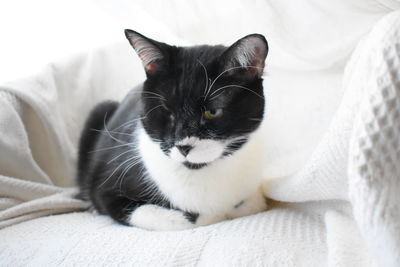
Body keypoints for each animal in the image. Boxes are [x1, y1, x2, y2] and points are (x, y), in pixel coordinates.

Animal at [76, 28, 268, 230]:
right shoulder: (107, 187)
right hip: (100, 110)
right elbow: (184, 221)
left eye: (213, 111)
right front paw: (206, 216)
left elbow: (254, 203)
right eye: (167, 111)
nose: (184, 147)